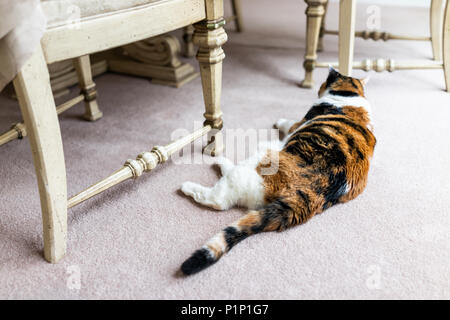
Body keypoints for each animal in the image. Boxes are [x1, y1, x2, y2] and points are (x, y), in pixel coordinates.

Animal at [179, 67, 376, 276]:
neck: (350, 96)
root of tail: (307, 197)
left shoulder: (297, 123)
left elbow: (287, 123)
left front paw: (278, 121)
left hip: (256, 163)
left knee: (219, 199)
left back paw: (201, 176)